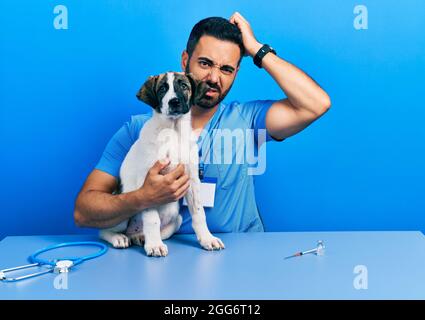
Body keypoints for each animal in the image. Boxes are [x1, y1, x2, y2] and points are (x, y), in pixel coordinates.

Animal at [99, 71, 225, 256]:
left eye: (184, 86)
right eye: (162, 89)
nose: (174, 102)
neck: (173, 131)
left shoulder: (192, 179)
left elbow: (199, 213)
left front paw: (207, 238)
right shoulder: (148, 184)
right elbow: (152, 219)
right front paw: (154, 245)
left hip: (176, 218)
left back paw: (140, 237)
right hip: (123, 207)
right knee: (104, 230)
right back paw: (119, 238)